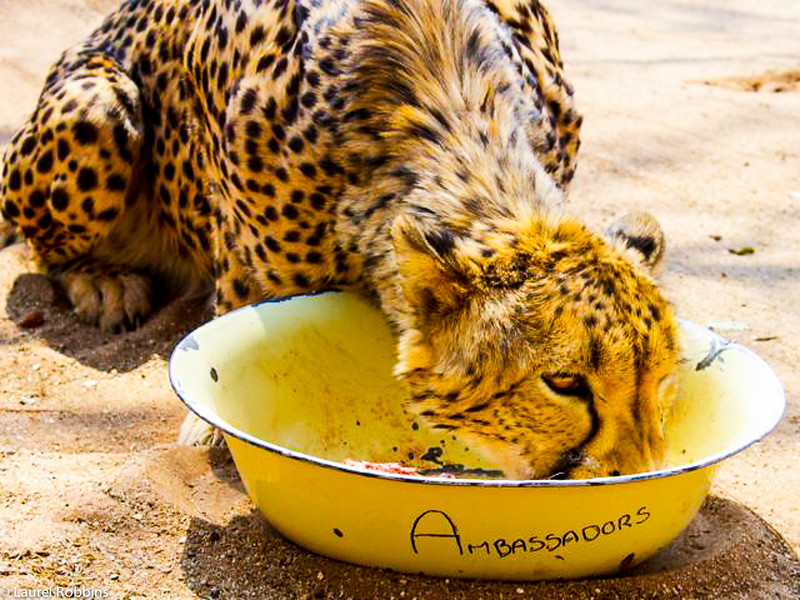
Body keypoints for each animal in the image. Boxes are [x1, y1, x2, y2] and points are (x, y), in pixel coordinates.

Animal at [0, 0, 680, 478]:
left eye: (661, 382)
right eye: (563, 383)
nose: (632, 477)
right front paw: (208, 429)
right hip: (98, 104)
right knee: (44, 246)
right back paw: (104, 282)